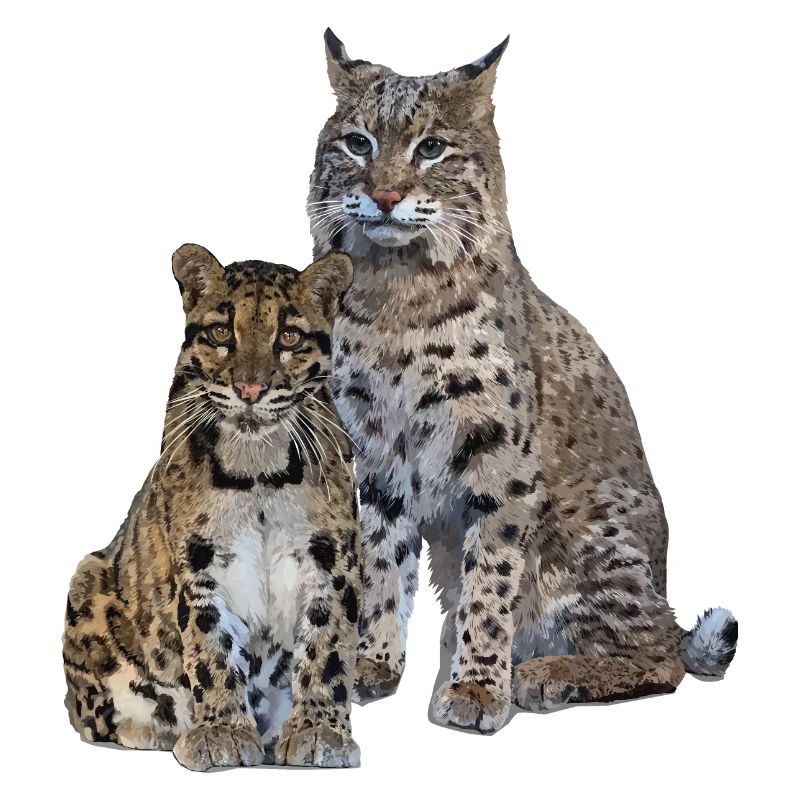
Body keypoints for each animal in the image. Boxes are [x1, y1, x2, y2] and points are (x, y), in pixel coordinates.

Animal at [63, 243, 362, 768]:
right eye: (223, 332)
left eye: (288, 336)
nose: (250, 390)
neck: (259, 471)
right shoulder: (199, 562)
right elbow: (211, 647)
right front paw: (221, 731)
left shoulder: (331, 559)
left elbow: (328, 648)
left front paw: (319, 731)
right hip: (87, 578)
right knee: (94, 715)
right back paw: (158, 729)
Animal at [306, 30, 738, 733]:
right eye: (358, 144)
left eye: (431, 148)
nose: (386, 197)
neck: (395, 292)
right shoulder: (377, 455)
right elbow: (380, 562)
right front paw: (370, 663)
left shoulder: (499, 459)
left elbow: (493, 576)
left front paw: (479, 690)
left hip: (588, 537)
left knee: (664, 654)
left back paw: (546, 673)